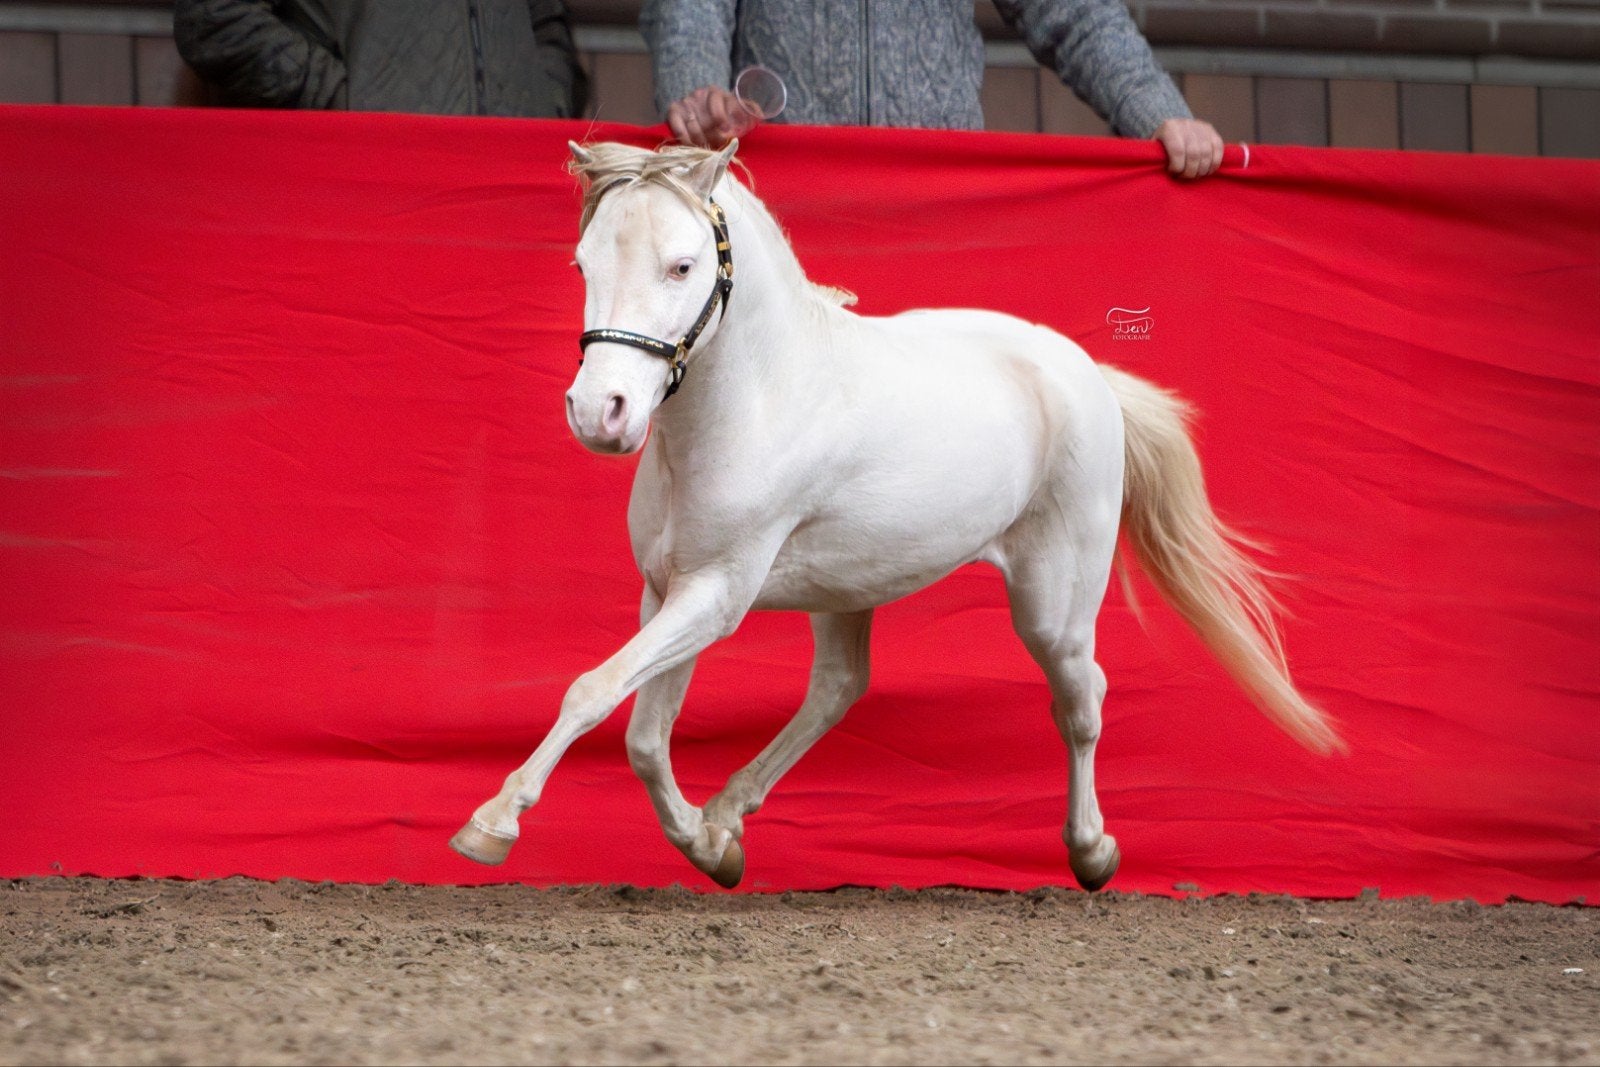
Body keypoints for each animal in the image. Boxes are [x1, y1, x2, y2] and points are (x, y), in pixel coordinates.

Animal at [449, 140, 1341, 891]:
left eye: (681, 265)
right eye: (584, 261)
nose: (601, 413)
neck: (760, 404)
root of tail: (1086, 371)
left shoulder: (718, 594)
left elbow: (592, 690)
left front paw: (490, 824)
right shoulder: (668, 590)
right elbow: (642, 736)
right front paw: (710, 848)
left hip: (1052, 601)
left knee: (1081, 699)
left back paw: (1092, 853)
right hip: (848, 592)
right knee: (840, 688)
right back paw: (729, 815)